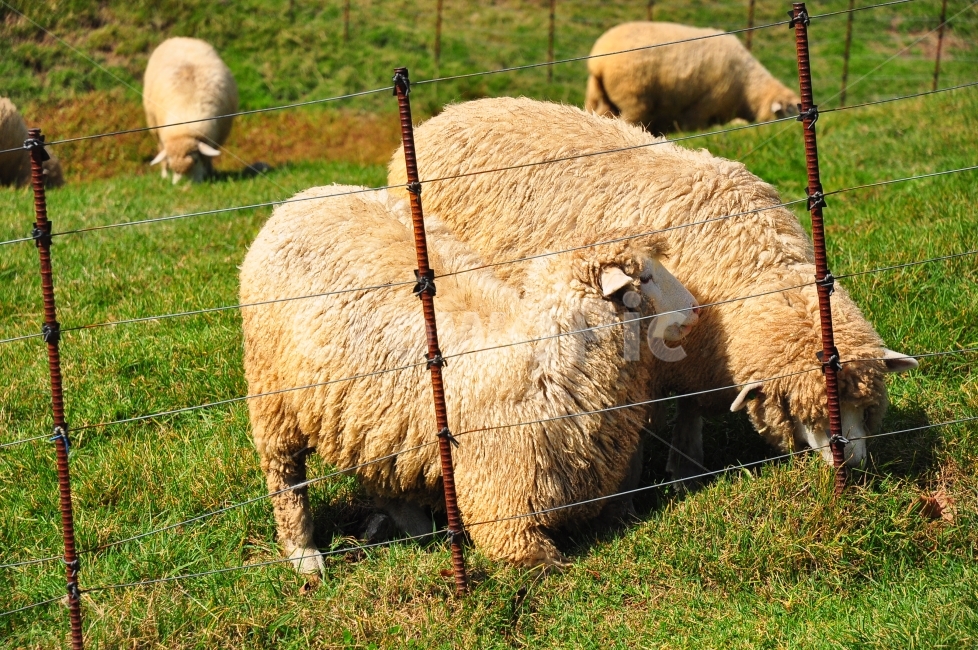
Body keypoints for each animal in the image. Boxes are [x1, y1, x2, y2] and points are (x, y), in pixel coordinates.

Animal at [143, 37, 238, 183]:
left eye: (196, 160)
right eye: (171, 164)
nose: (184, 186)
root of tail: (181, 38)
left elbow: (209, 157)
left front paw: (209, 173)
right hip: (154, 125)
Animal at [239, 185, 698, 571]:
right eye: (645, 277)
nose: (695, 310)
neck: (539, 362)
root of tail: (300, 199)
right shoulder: (505, 510)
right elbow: (542, 563)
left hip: (371, 417)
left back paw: (415, 529)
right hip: (272, 394)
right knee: (285, 477)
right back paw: (306, 557)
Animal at [387, 96, 918, 486]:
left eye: (866, 406)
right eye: (804, 409)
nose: (852, 466)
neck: (753, 258)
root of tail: (446, 114)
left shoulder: (698, 354)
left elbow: (689, 406)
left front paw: (685, 459)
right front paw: (661, 468)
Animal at [584, 21, 800, 134]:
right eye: (789, 110)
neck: (748, 87)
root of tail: (599, 62)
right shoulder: (708, 101)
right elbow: (694, 122)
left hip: (598, 95)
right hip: (633, 96)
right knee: (630, 118)